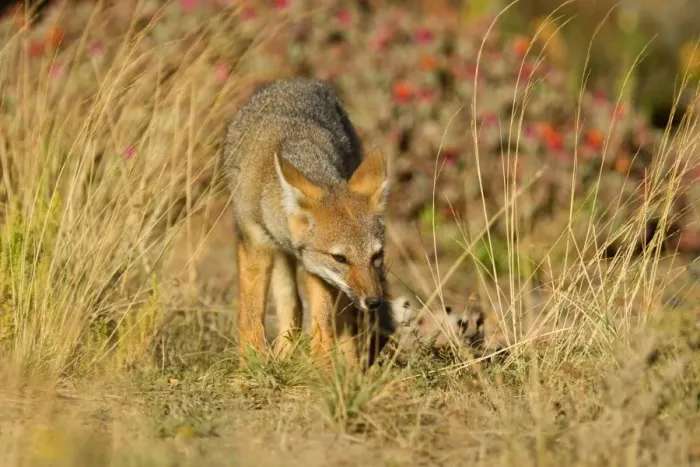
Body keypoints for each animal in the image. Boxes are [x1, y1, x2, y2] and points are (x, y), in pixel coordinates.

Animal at [221, 77, 395, 369]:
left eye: (377, 255)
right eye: (340, 258)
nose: (373, 302)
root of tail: (298, 81)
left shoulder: (318, 272)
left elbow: (322, 325)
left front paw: (323, 369)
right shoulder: (255, 244)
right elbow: (252, 315)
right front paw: (251, 366)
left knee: (334, 320)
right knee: (292, 307)